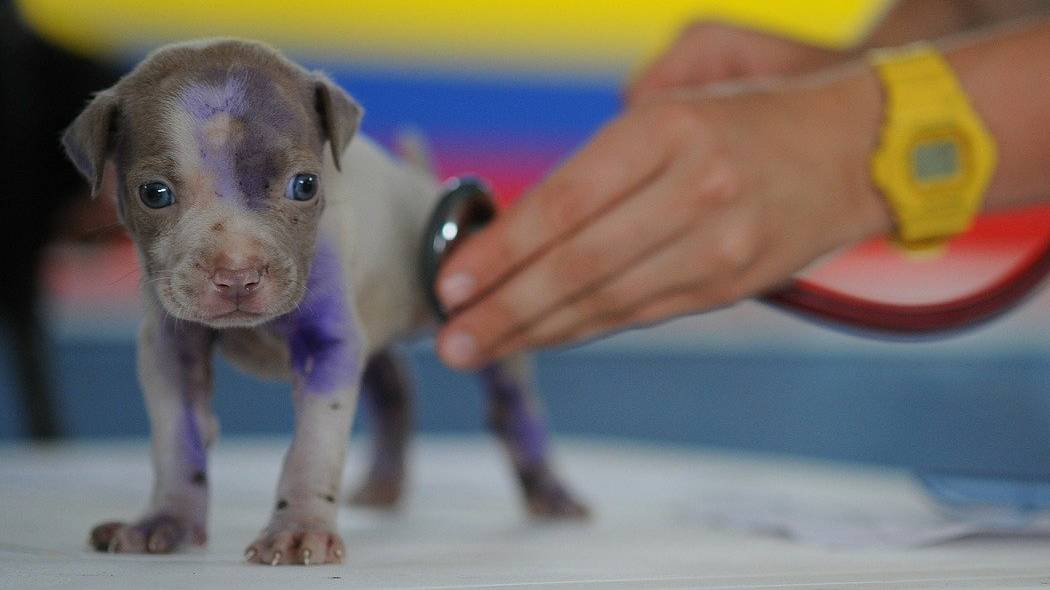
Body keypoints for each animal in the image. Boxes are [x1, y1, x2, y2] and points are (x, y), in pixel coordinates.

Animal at [63, 39, 592, 562]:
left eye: (305, 185)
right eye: (154, 193)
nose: (237, 275)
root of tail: (421, 182)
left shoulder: (329, 345)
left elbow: (312, 447)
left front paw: (298, 528)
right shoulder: (170, 349)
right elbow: (177, 439)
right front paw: (165, 520)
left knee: (511, 405)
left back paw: (551, 492)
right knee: (395, 385)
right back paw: (384, 484)